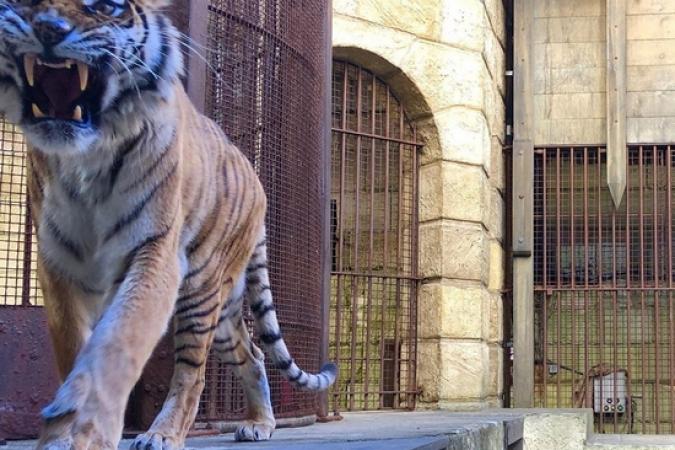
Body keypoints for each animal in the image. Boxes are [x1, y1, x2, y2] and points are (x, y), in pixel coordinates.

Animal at [0, 0, 336, 450]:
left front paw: (91, 426)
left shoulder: (154, 252)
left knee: (192, 374)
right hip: (223, 311)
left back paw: (163, 434)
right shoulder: (59, 263)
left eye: (105, 8)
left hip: (202, 290)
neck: (87, 158)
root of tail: (257, 180)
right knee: (253, 353)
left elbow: (120, 340)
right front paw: (60, 433)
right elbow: (73, 349)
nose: (50, 30)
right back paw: (259, 423)